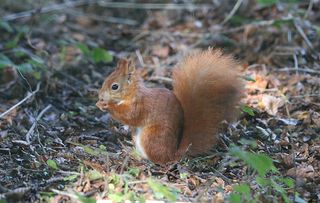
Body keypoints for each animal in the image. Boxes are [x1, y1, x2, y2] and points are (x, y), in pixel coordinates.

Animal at [96, 49, 241, 165]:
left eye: (114, 86)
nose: (100, 96)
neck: (131, 93)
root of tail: (172, 154)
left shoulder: (139, 105)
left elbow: (128, 115)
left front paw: (106, 105)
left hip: (151, 137)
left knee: (157, 160)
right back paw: (130, 152)